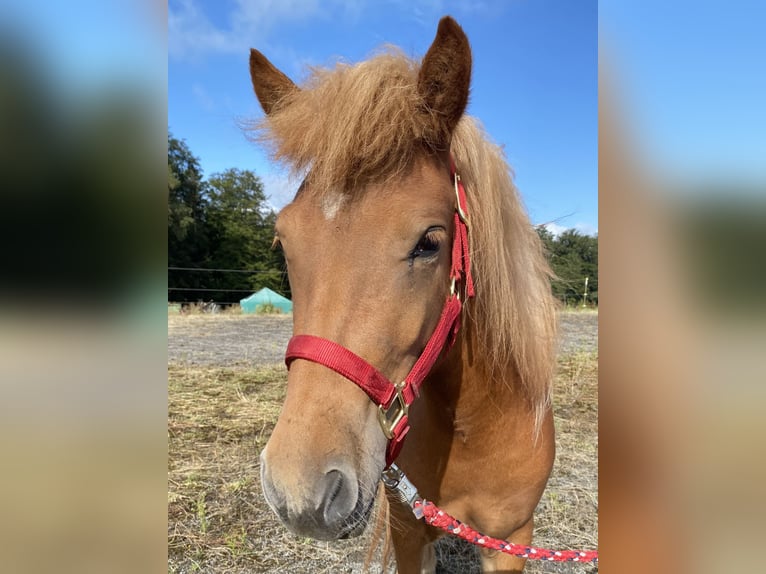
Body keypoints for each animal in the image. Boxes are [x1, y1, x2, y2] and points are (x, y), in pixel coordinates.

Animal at [252, 15, 560, 572]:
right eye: (283, 240)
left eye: (429, 242)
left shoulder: (512, 539)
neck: (475, 430)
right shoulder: (408, 530)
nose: (300, 492)